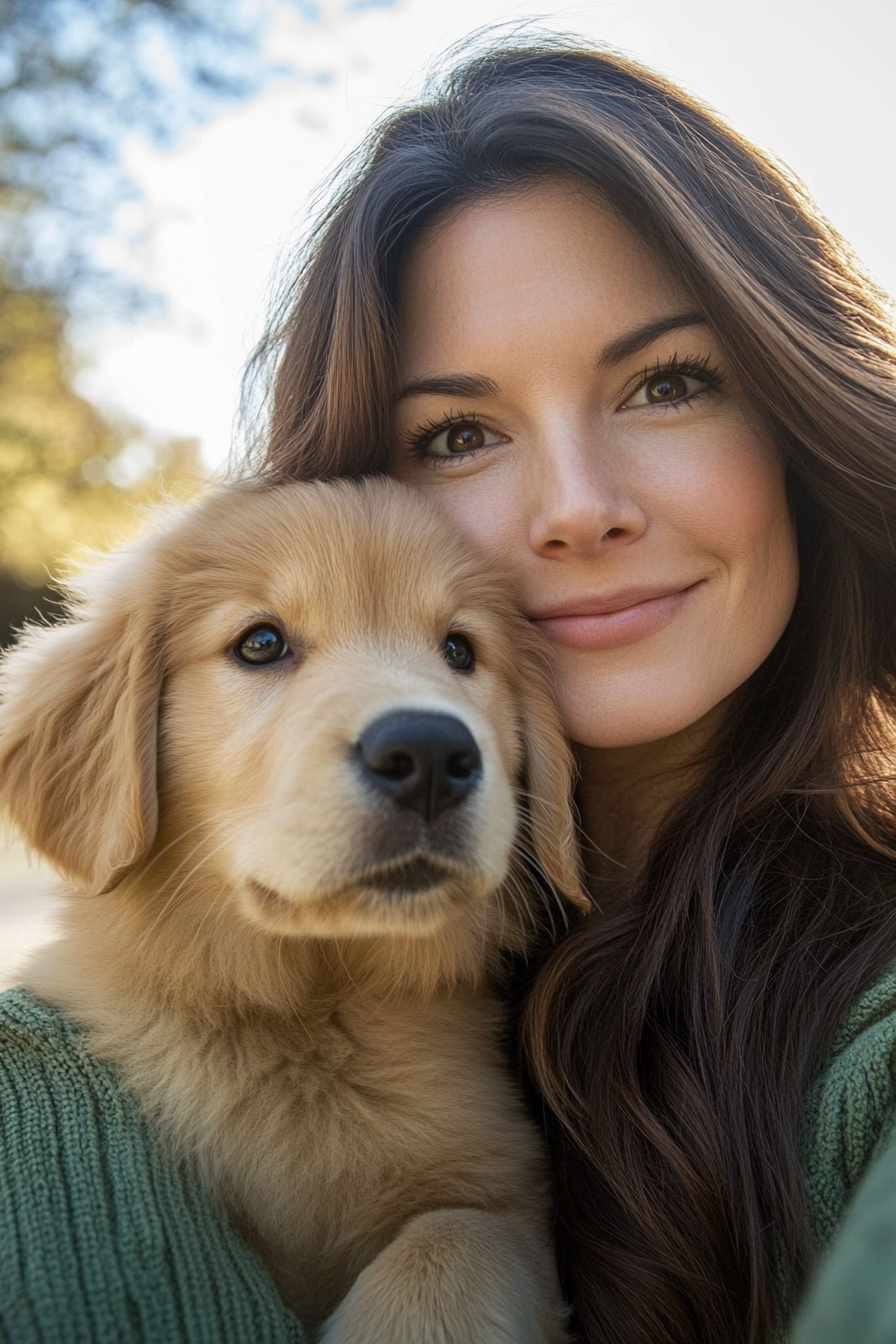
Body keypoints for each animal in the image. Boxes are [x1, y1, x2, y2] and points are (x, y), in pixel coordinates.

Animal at [0, 478, 585, 1338]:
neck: (310, 1012)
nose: (431, 755)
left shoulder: (506, 1194)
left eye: (460, 651)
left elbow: (448, 1239)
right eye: (260, 643)